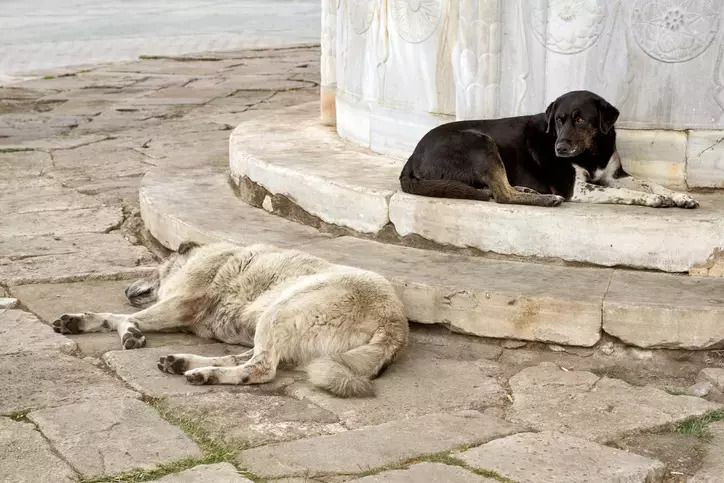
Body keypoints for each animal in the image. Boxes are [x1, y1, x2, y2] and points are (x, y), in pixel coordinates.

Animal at [52, 242, 408, 398]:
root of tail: (394, 325)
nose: (125, 289)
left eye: (154, 267)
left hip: (280, 312)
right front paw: (83, 322)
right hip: (276, 328)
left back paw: (205, 374)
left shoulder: (180, 304)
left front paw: (125, 330)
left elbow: (123, 317)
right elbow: (118, 317)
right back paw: (185, 363)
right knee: (246, 358)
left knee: (261, 369)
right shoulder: (179, 313)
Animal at [398, 91, 700, 209]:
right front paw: (655, 200)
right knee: (502, 195)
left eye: (580, 119)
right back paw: (547, 199)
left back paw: (527, 190)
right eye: (558, 120)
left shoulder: (615, 176)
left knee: (499, 188)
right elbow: (628, 194)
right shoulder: (578, 189)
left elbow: (652, 183)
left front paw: (680, 197)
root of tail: (412, 157)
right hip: (479, 141)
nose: (560, 148)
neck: (592, 152)